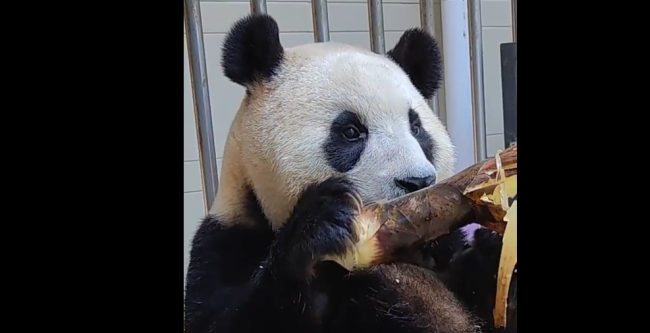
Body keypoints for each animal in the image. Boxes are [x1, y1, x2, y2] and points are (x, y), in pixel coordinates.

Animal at [185, 13, 504, 332]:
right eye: (351, 131)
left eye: (416, 128)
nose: (418, 181)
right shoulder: (226, 240)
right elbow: (224, 317)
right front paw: (323, 222)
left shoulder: (443, 245)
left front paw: (492, 248)